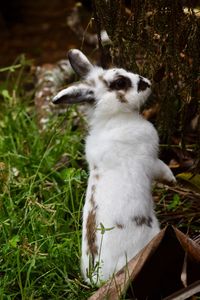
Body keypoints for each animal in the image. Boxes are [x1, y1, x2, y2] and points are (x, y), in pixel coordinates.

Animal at [52, 48, 176, 284]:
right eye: (120, 83)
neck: (115, 118)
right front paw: (173, 180)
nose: (147, 82)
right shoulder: (151, 160)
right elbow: (163, 169)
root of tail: (99, 277)